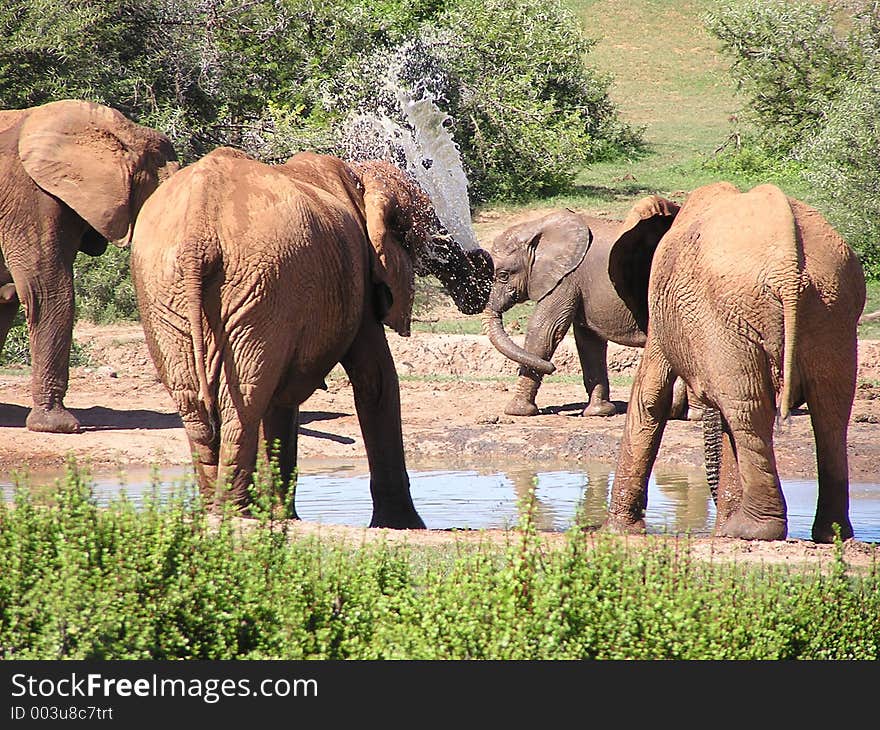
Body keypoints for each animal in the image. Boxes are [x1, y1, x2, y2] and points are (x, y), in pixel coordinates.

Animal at [129, 145, 496, 528]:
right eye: (429, 226)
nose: (483, 265)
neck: (360, 178)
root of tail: (198, 230)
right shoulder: (359, 275)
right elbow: (376, 379)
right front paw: (403, 526)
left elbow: (283, 400)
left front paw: (284, 517)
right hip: (257, 285)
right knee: (245, 399)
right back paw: (238, 514)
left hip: (169, 289)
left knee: (197, 403)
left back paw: (218, 512)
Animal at [482, 202, 696, 418]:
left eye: (503, 275)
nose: (554, 368)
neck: (539, 226)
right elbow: (589, 341)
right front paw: (599, 412)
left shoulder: (566, 279)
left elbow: (545, 331)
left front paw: (516, 411)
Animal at [604, 182, 868, 540]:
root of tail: (787, 268)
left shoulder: (666, 311)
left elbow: (650, 397)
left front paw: (616, 530)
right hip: (831, 307)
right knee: (829, 411)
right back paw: (831, 534)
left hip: (739, 313)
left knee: (748, 408)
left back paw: (752, 529)